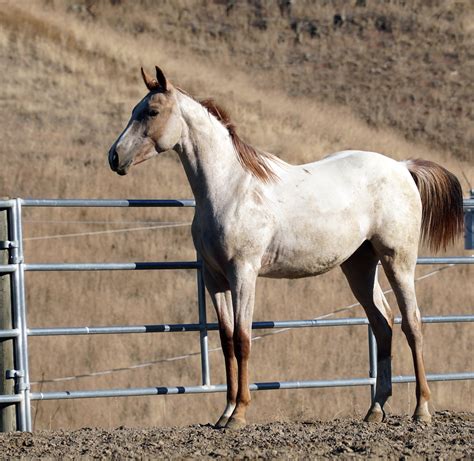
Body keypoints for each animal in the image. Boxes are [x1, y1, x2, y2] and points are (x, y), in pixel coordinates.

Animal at [106, 64, 462, 428]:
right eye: (135, 110)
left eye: (152, 111)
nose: (114, 157)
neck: (230, 188)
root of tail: (403, 167)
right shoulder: (214, 278)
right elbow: (226, 340)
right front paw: (225, 412)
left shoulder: (243, 274)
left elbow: (243, 339)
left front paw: (240, 413)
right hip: (359, 266)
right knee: (383, 324)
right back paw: (375, 409)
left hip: (398, 260)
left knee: (412, 323)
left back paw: (422, 409)